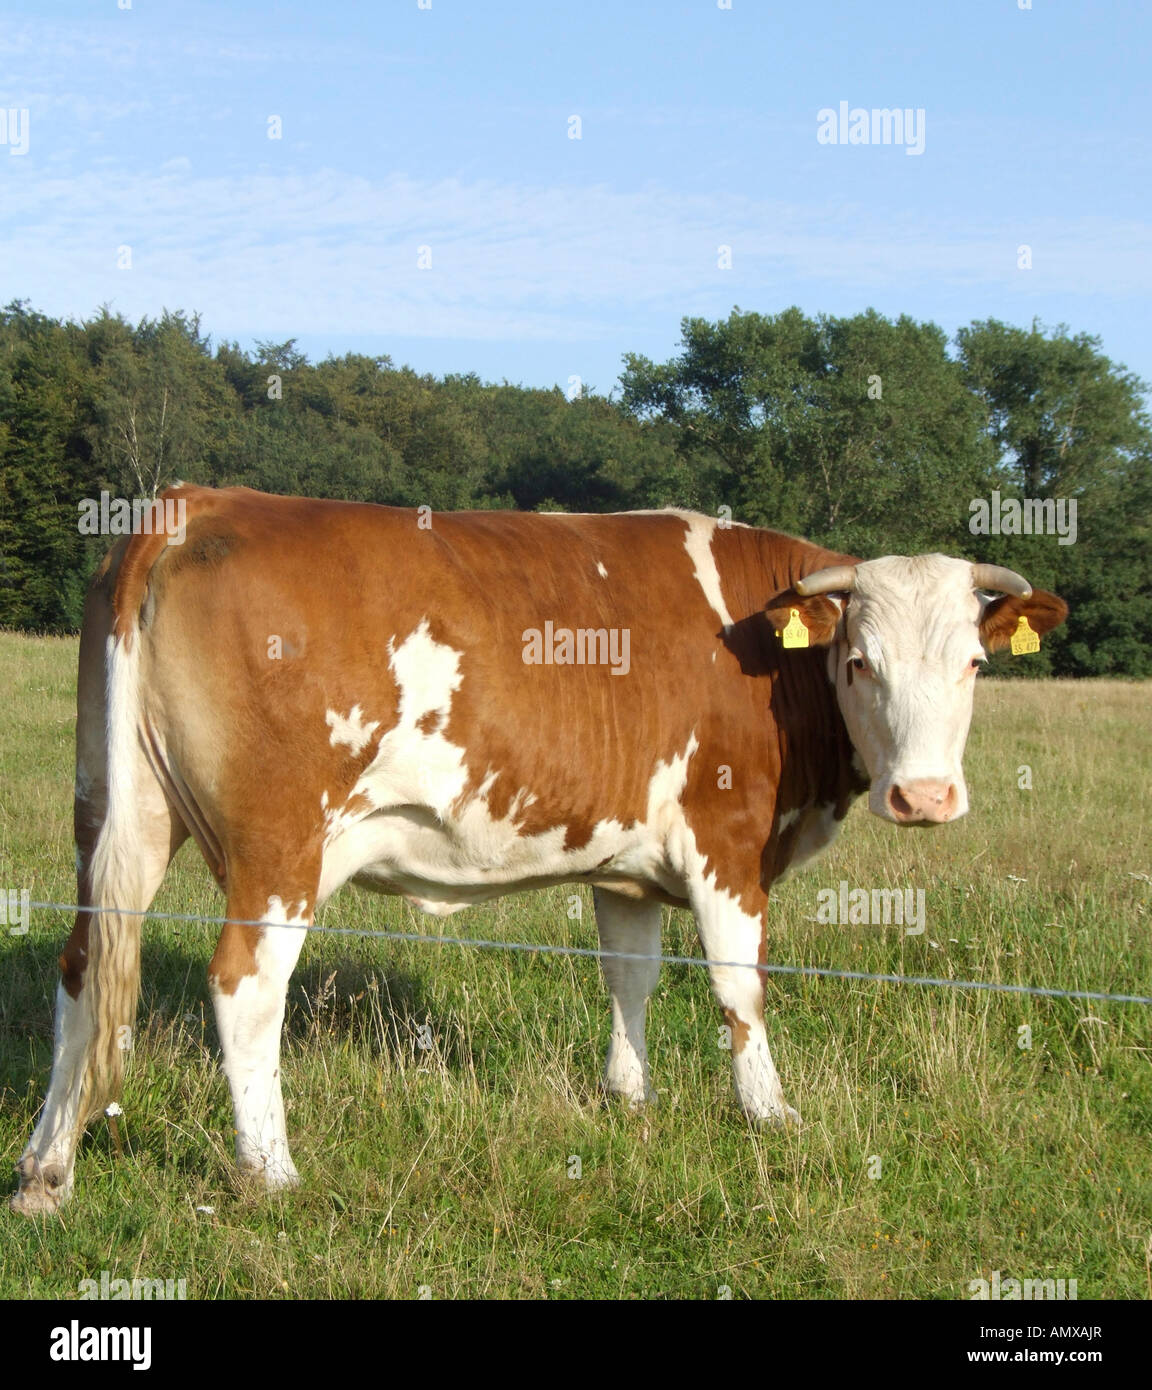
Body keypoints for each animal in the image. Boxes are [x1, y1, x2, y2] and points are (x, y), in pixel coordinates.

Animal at [11, 483, 1067, 1212]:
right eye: (858, 660)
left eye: (975, 663)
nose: (925, 797)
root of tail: (195, 503)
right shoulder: (724, 841)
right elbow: (740, 985)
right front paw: (770, 1114)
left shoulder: (629, 865)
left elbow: (631, 976)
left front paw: (630, 1100)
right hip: (281, 845)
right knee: (243, 986)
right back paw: (273, 1171)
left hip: (115, 816)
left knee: (81, 970)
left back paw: (45, 1172)